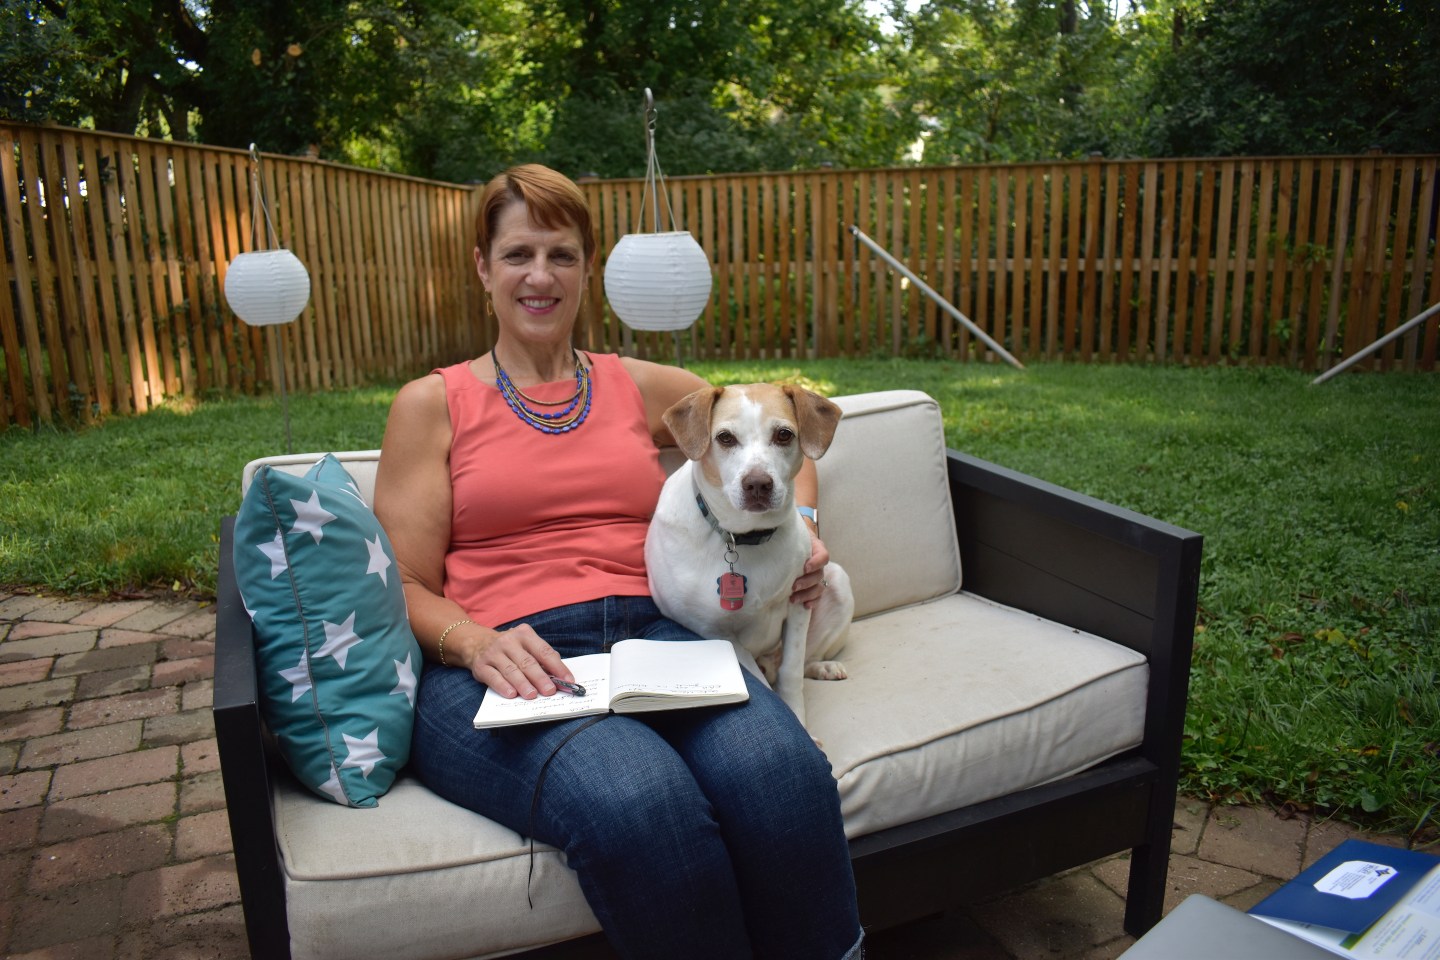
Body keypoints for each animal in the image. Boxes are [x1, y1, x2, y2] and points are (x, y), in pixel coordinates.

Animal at [645, 383, 853, 727]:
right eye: (725, 438)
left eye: (783, 435)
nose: (757, 484)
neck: (743, 538)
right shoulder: (718, 635)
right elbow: (765, 686)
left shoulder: (799, 604)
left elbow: (791, 673)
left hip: (837, 582)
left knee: (799, 662)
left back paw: (823, 666)